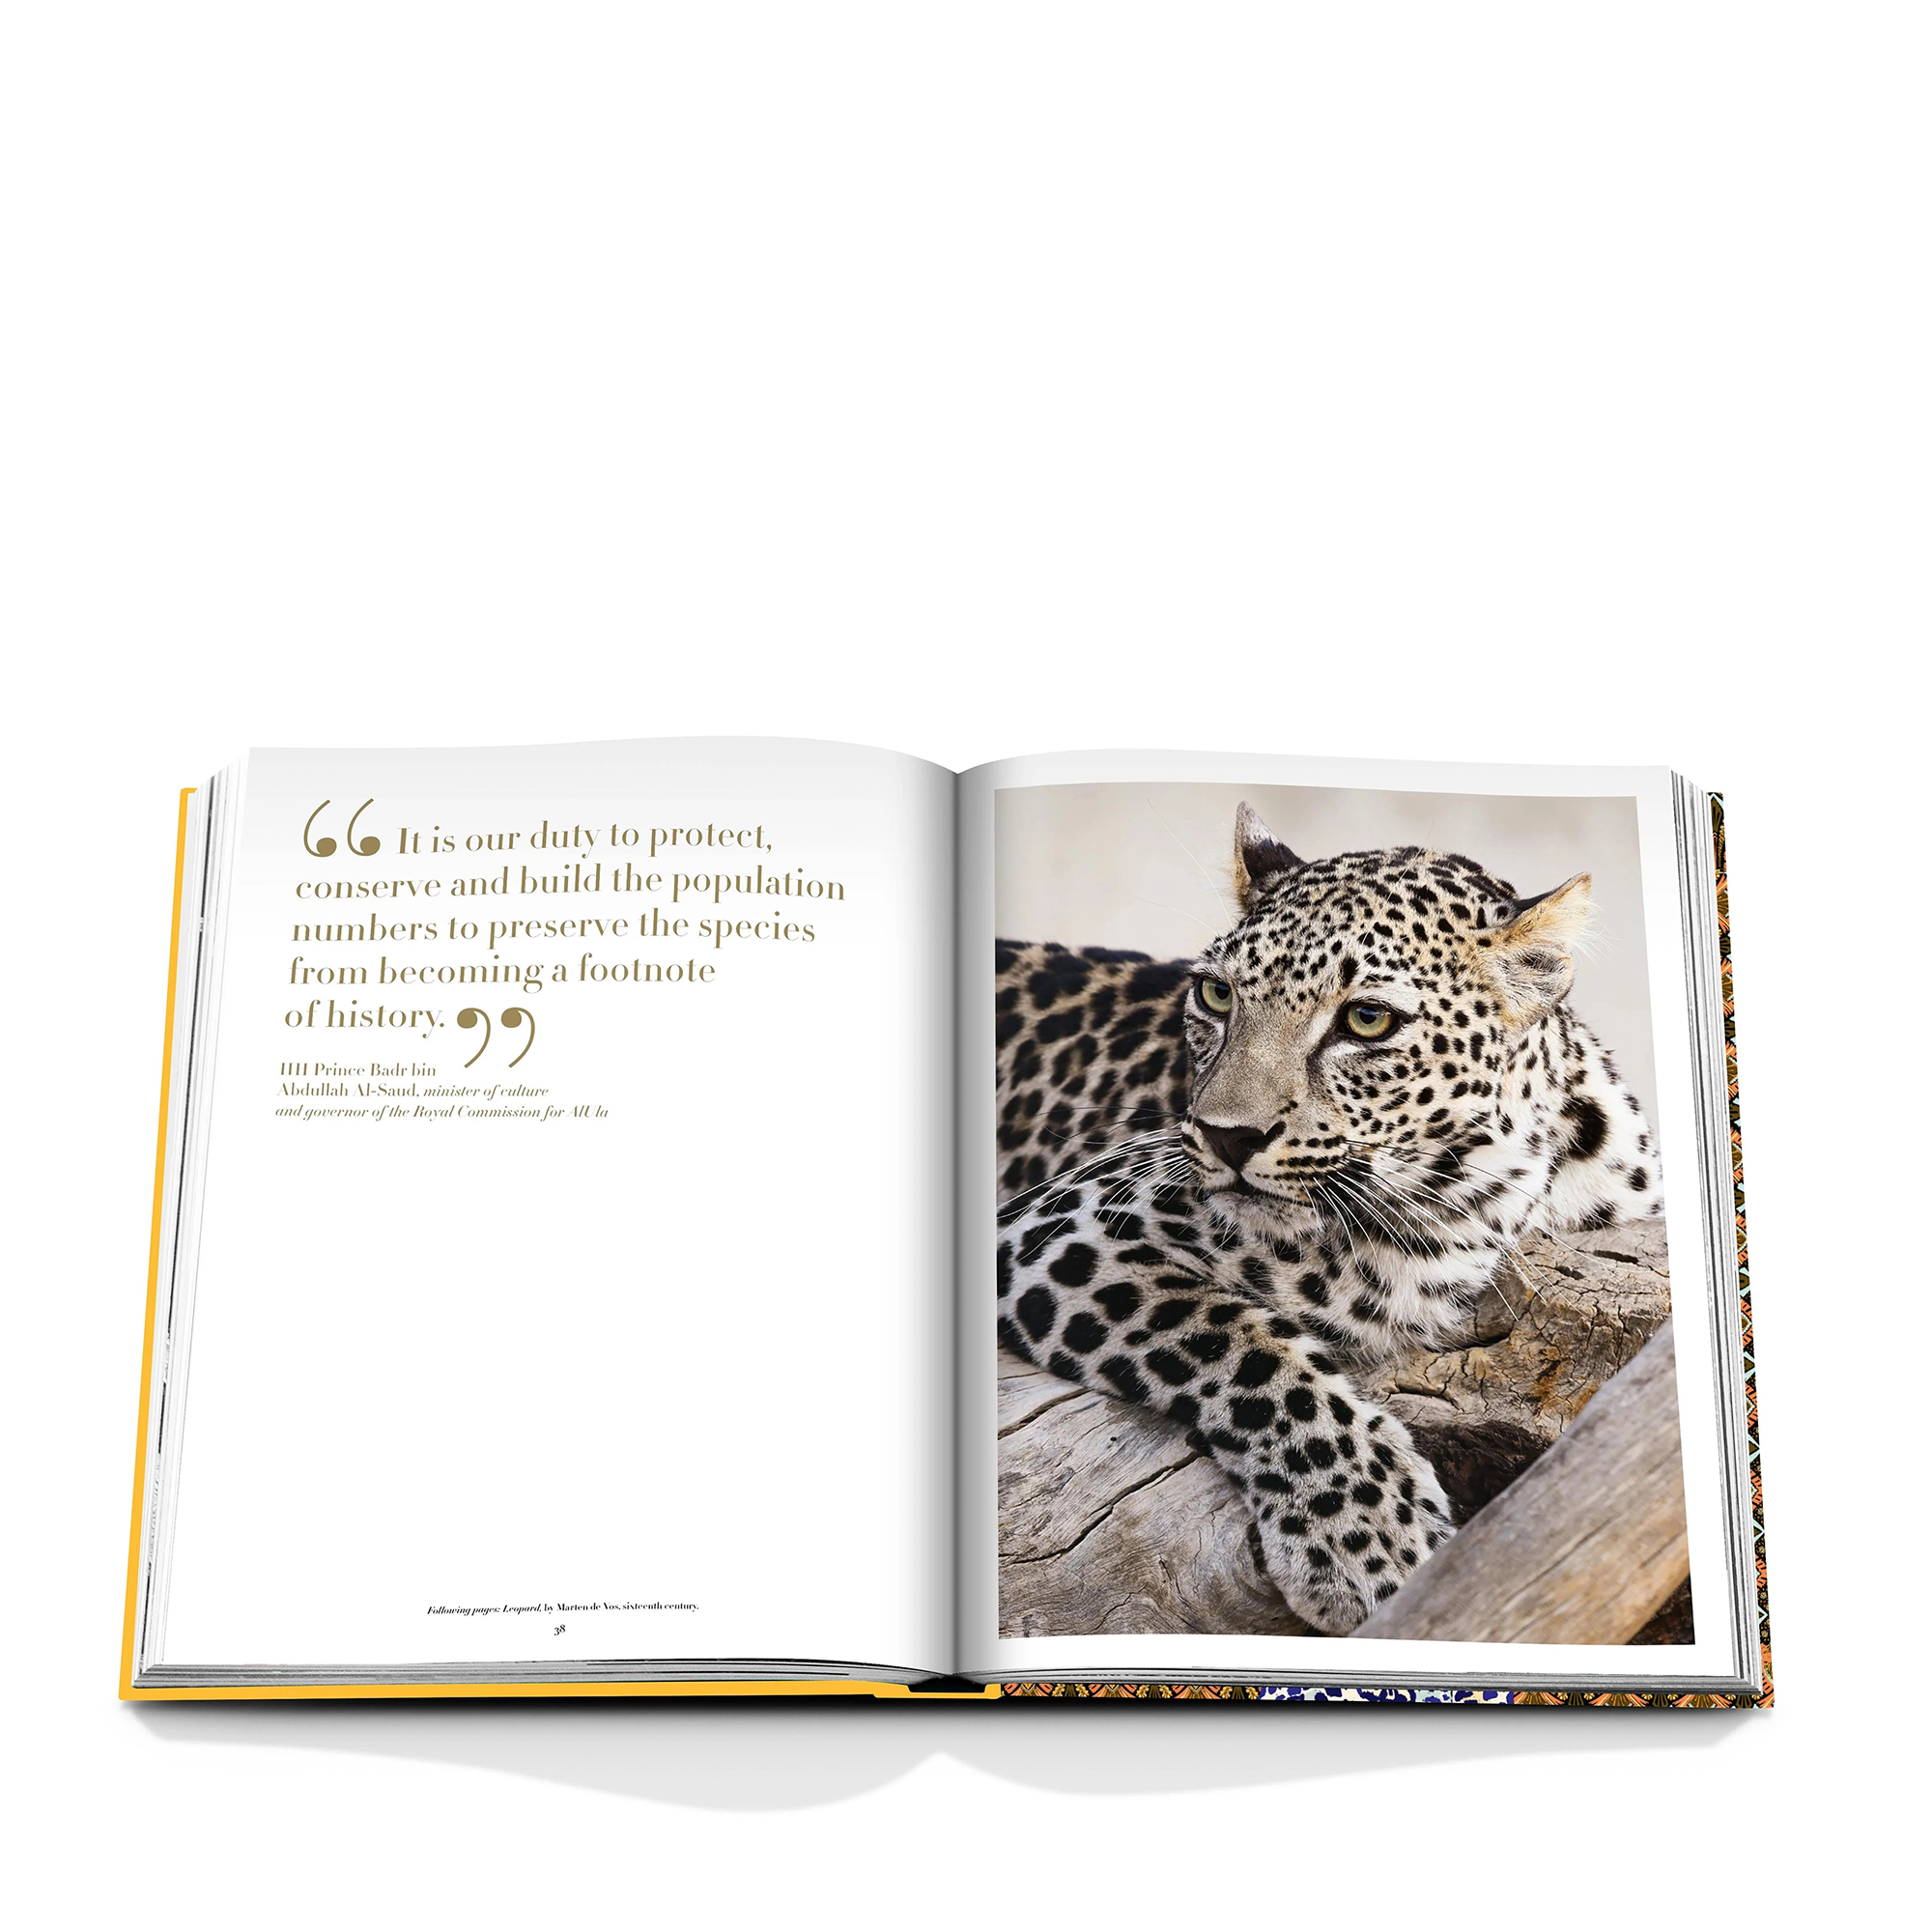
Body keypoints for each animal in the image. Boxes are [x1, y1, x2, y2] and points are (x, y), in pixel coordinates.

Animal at [995, 802, 1666, 1635]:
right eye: (1217, 996)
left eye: (1367, 1020)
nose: (1226, 1136)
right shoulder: (1069, 1224)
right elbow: (1247, 1348)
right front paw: (1369, 1540)